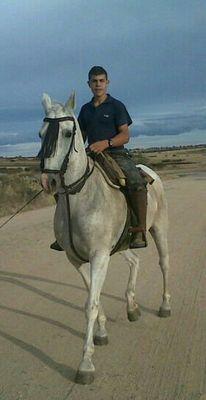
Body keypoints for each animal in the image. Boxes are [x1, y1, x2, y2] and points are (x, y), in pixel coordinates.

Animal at [39, 91, 171, 384]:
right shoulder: (77, 259)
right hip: (121, 245)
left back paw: (165, 306)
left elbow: (91, 303)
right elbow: (92, 295)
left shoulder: (99, 256)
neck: (81, 197)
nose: (48, 182)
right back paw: (132, 307)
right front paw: (100, 333)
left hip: (159, 228)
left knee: (164, 263)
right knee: (134, 261)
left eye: (67, 133)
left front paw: (86, 364)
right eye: (41, 133)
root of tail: (149, 171)